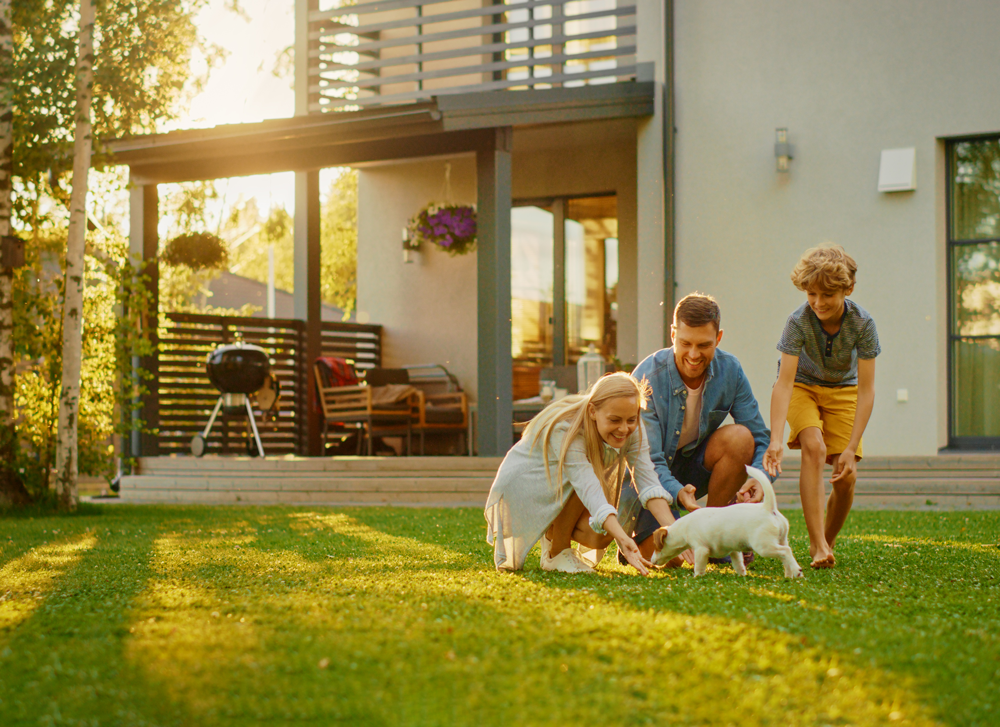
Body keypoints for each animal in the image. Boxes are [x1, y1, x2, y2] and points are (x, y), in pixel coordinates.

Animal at [648, 466, 804, 580]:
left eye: (656, 547)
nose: (651, 561)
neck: (683, 528)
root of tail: (768, 508)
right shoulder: (734, 550)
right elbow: (738, 564)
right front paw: (742, 575)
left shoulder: (701, 549)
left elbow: (699, 566)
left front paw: (696, 577)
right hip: (781, 539)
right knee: (785, 556)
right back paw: (788, 575)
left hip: (763, 546)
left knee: (786, 551)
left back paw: (797, 571)